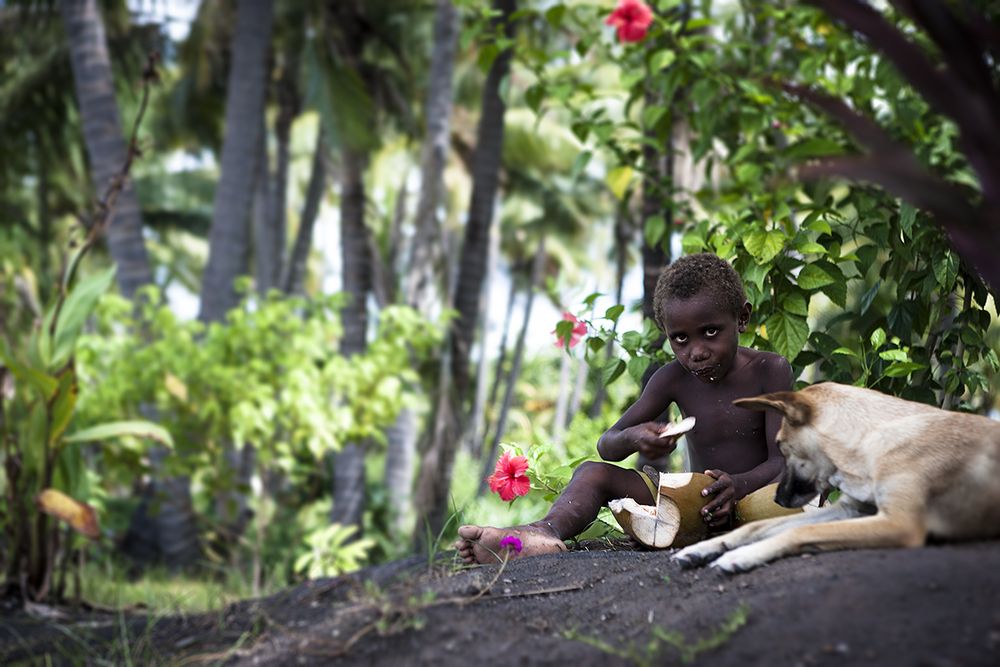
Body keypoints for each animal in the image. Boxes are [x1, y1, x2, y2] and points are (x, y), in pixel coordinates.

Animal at [672, 380, 1000, 576]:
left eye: (781, 446)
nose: (778, 498)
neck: (869, 442)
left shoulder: (900, 523)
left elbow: (798, 532)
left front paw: (742, 556)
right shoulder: (850, 510)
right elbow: (757, 526)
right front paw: (702, 548)